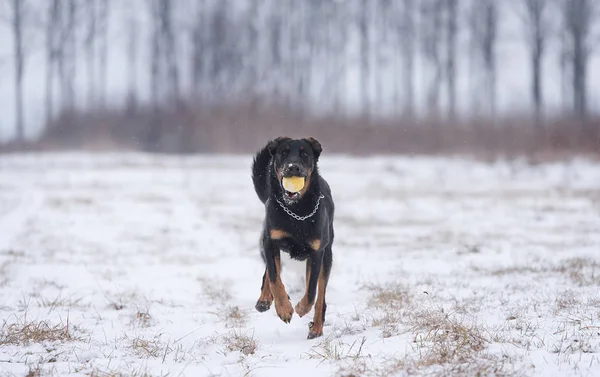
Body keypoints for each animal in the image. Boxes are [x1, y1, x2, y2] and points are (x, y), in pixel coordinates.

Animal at [248, 135, 332, 338]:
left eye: (304, 154)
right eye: (283, 153)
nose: (293, 167)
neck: (296, 211)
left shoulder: (317, 252)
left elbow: (312, 291)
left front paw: (301, 307)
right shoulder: (270, 242)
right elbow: (274, 278)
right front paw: (284, 309)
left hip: (327, 256)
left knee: (320, 294)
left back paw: (317, 328)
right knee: (271, 272)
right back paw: (264, 300)